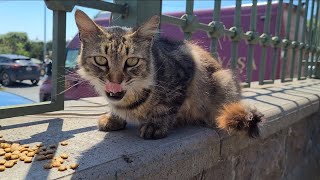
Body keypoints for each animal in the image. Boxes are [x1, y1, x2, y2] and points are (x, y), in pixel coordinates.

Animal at [75, 9, 264, 139]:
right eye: (101, 60)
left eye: (132, 61)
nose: (115, 81)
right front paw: (113, 118)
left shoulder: (184, 75)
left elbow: (166, 107)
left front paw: (155, 125)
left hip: (223, 81)